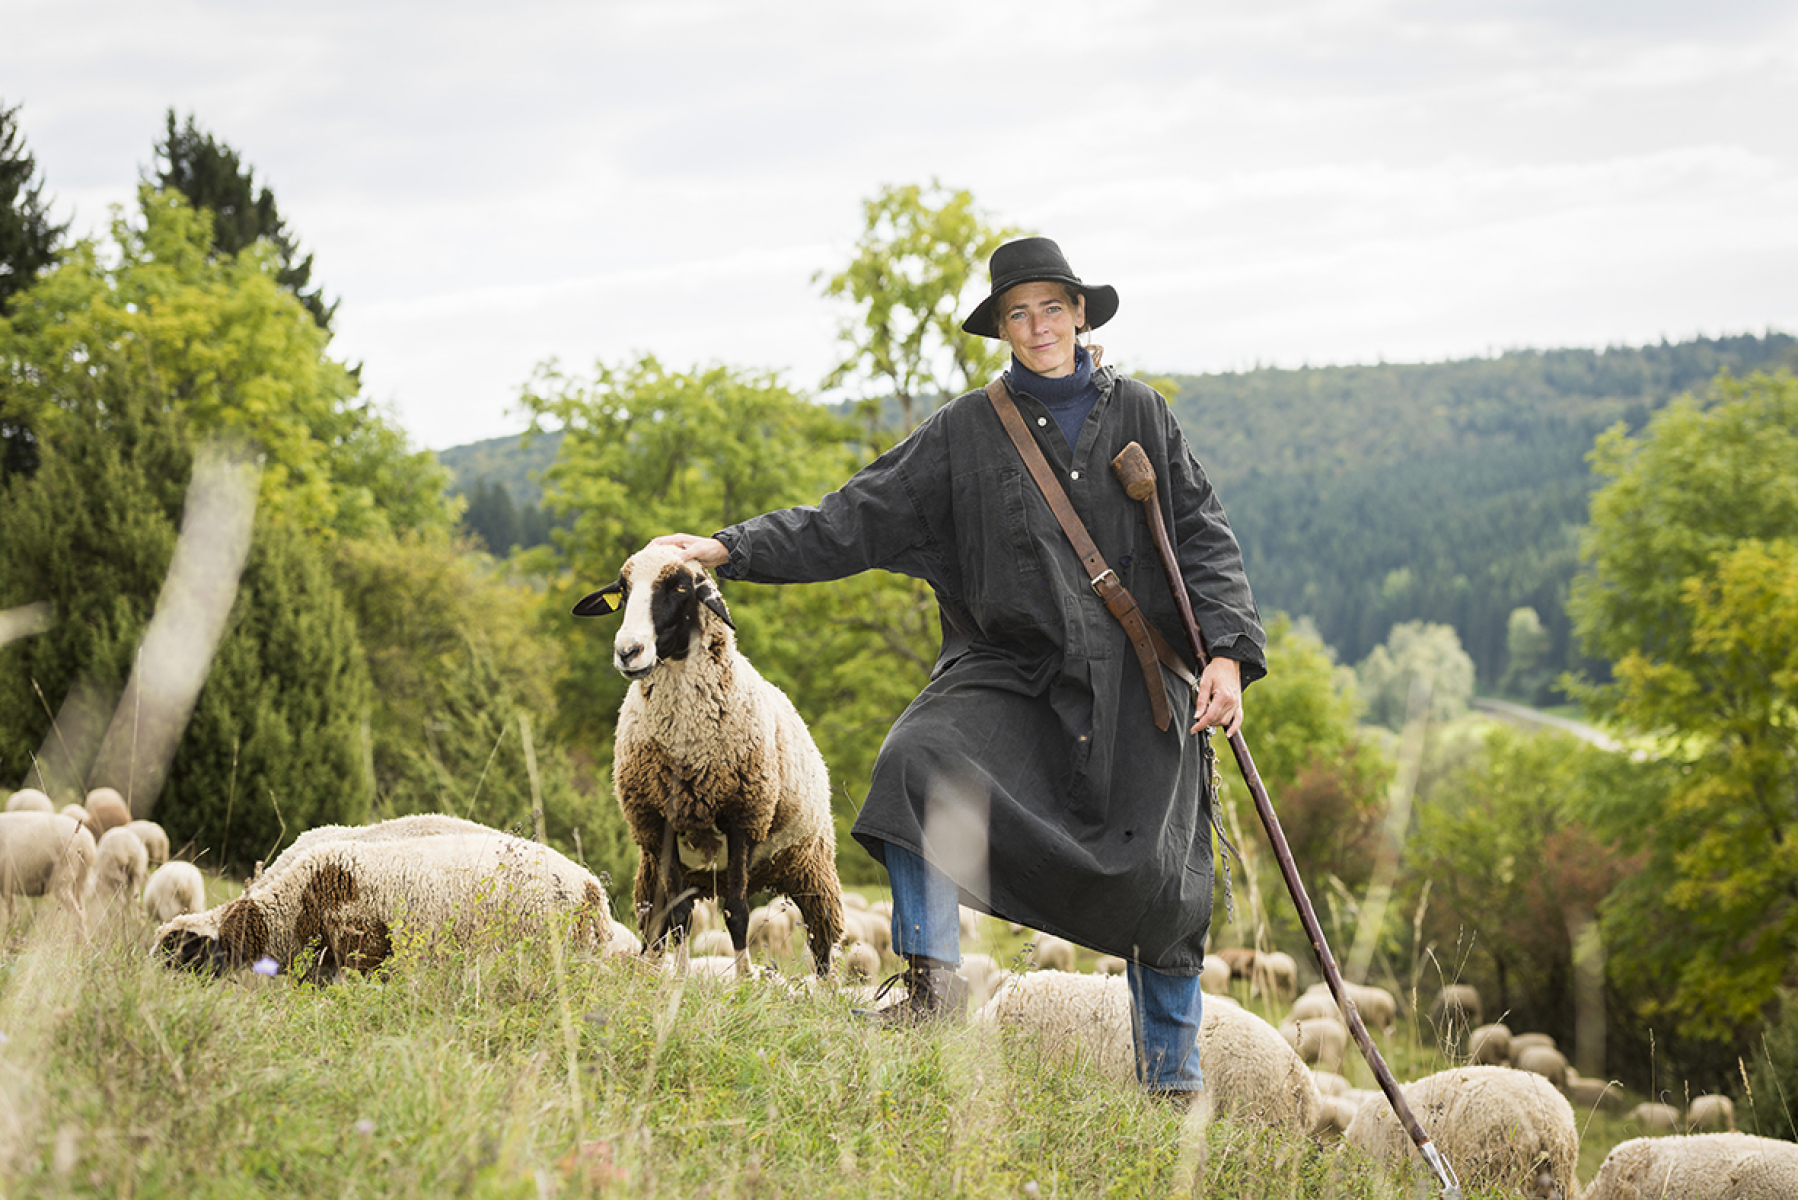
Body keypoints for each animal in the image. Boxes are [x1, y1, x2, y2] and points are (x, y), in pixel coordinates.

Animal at [0, 813, 95, 942]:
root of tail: (87, 844)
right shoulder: (6, 887)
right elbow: (13, 914)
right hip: (79, 882)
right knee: (83, 913)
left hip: (63, 877)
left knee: (77, 915)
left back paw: (81, 945)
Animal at [582, 543, 848, 978]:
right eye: (623, 588)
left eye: (680, 586)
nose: (627, 652)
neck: (688, 748)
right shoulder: (661, 825)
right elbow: (679, 917)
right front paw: (678, 980)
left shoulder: (744, 818)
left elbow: (737, 913)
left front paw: (743, 980)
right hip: (655, 870)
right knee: (654, 924)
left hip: (812, 864)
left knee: (823, 942)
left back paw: (825, 988)